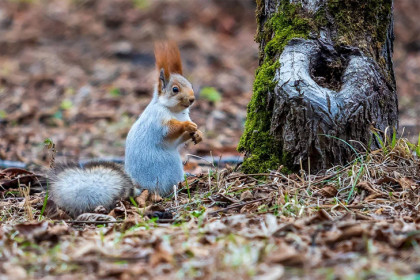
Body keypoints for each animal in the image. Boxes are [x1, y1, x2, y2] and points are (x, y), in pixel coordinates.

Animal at [48, 41, 203, 217]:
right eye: (175, 89)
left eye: (191, 85)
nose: (192, 99)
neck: (176, 112)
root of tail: (139, 188)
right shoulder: (157, 121)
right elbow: (169, 131)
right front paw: (186, 126)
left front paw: (198, 134)